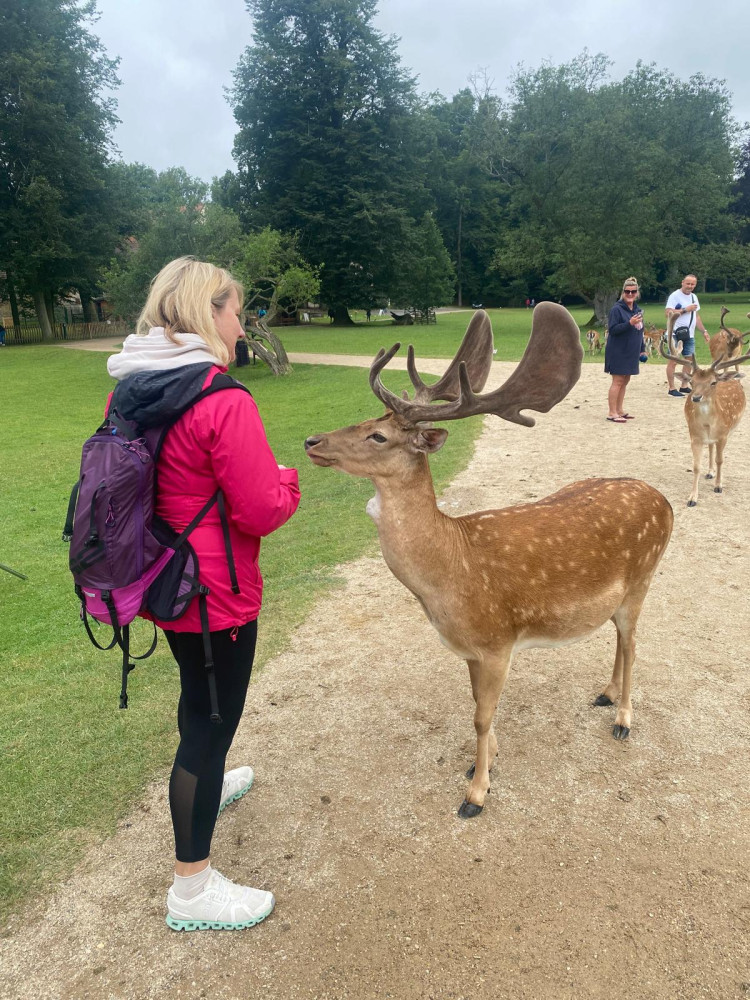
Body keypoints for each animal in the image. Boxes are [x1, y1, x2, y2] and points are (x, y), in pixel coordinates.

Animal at [306, 306, 676, 820]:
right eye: (361, 418)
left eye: (377, 435)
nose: (311, 440)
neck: (449, 575)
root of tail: (666, 502)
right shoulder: (469, 649)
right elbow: (477, 706)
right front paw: (486, 762)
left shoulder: (500, 642)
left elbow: (482, 716)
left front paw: (476, 792)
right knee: (621, 641)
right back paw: (605, 695)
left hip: (643, 577)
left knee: (634, 642)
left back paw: (623, 718)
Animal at [664, 312, 750, 508]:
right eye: (692, 381)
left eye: (713, 382)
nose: (695, 397)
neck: (708, 424)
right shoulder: (694, 436)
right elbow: (696, 466)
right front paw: (692, 498)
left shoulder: (724, 434)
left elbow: (720, 460)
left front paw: (719, 486)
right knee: (710, 447)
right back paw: (709, 472)